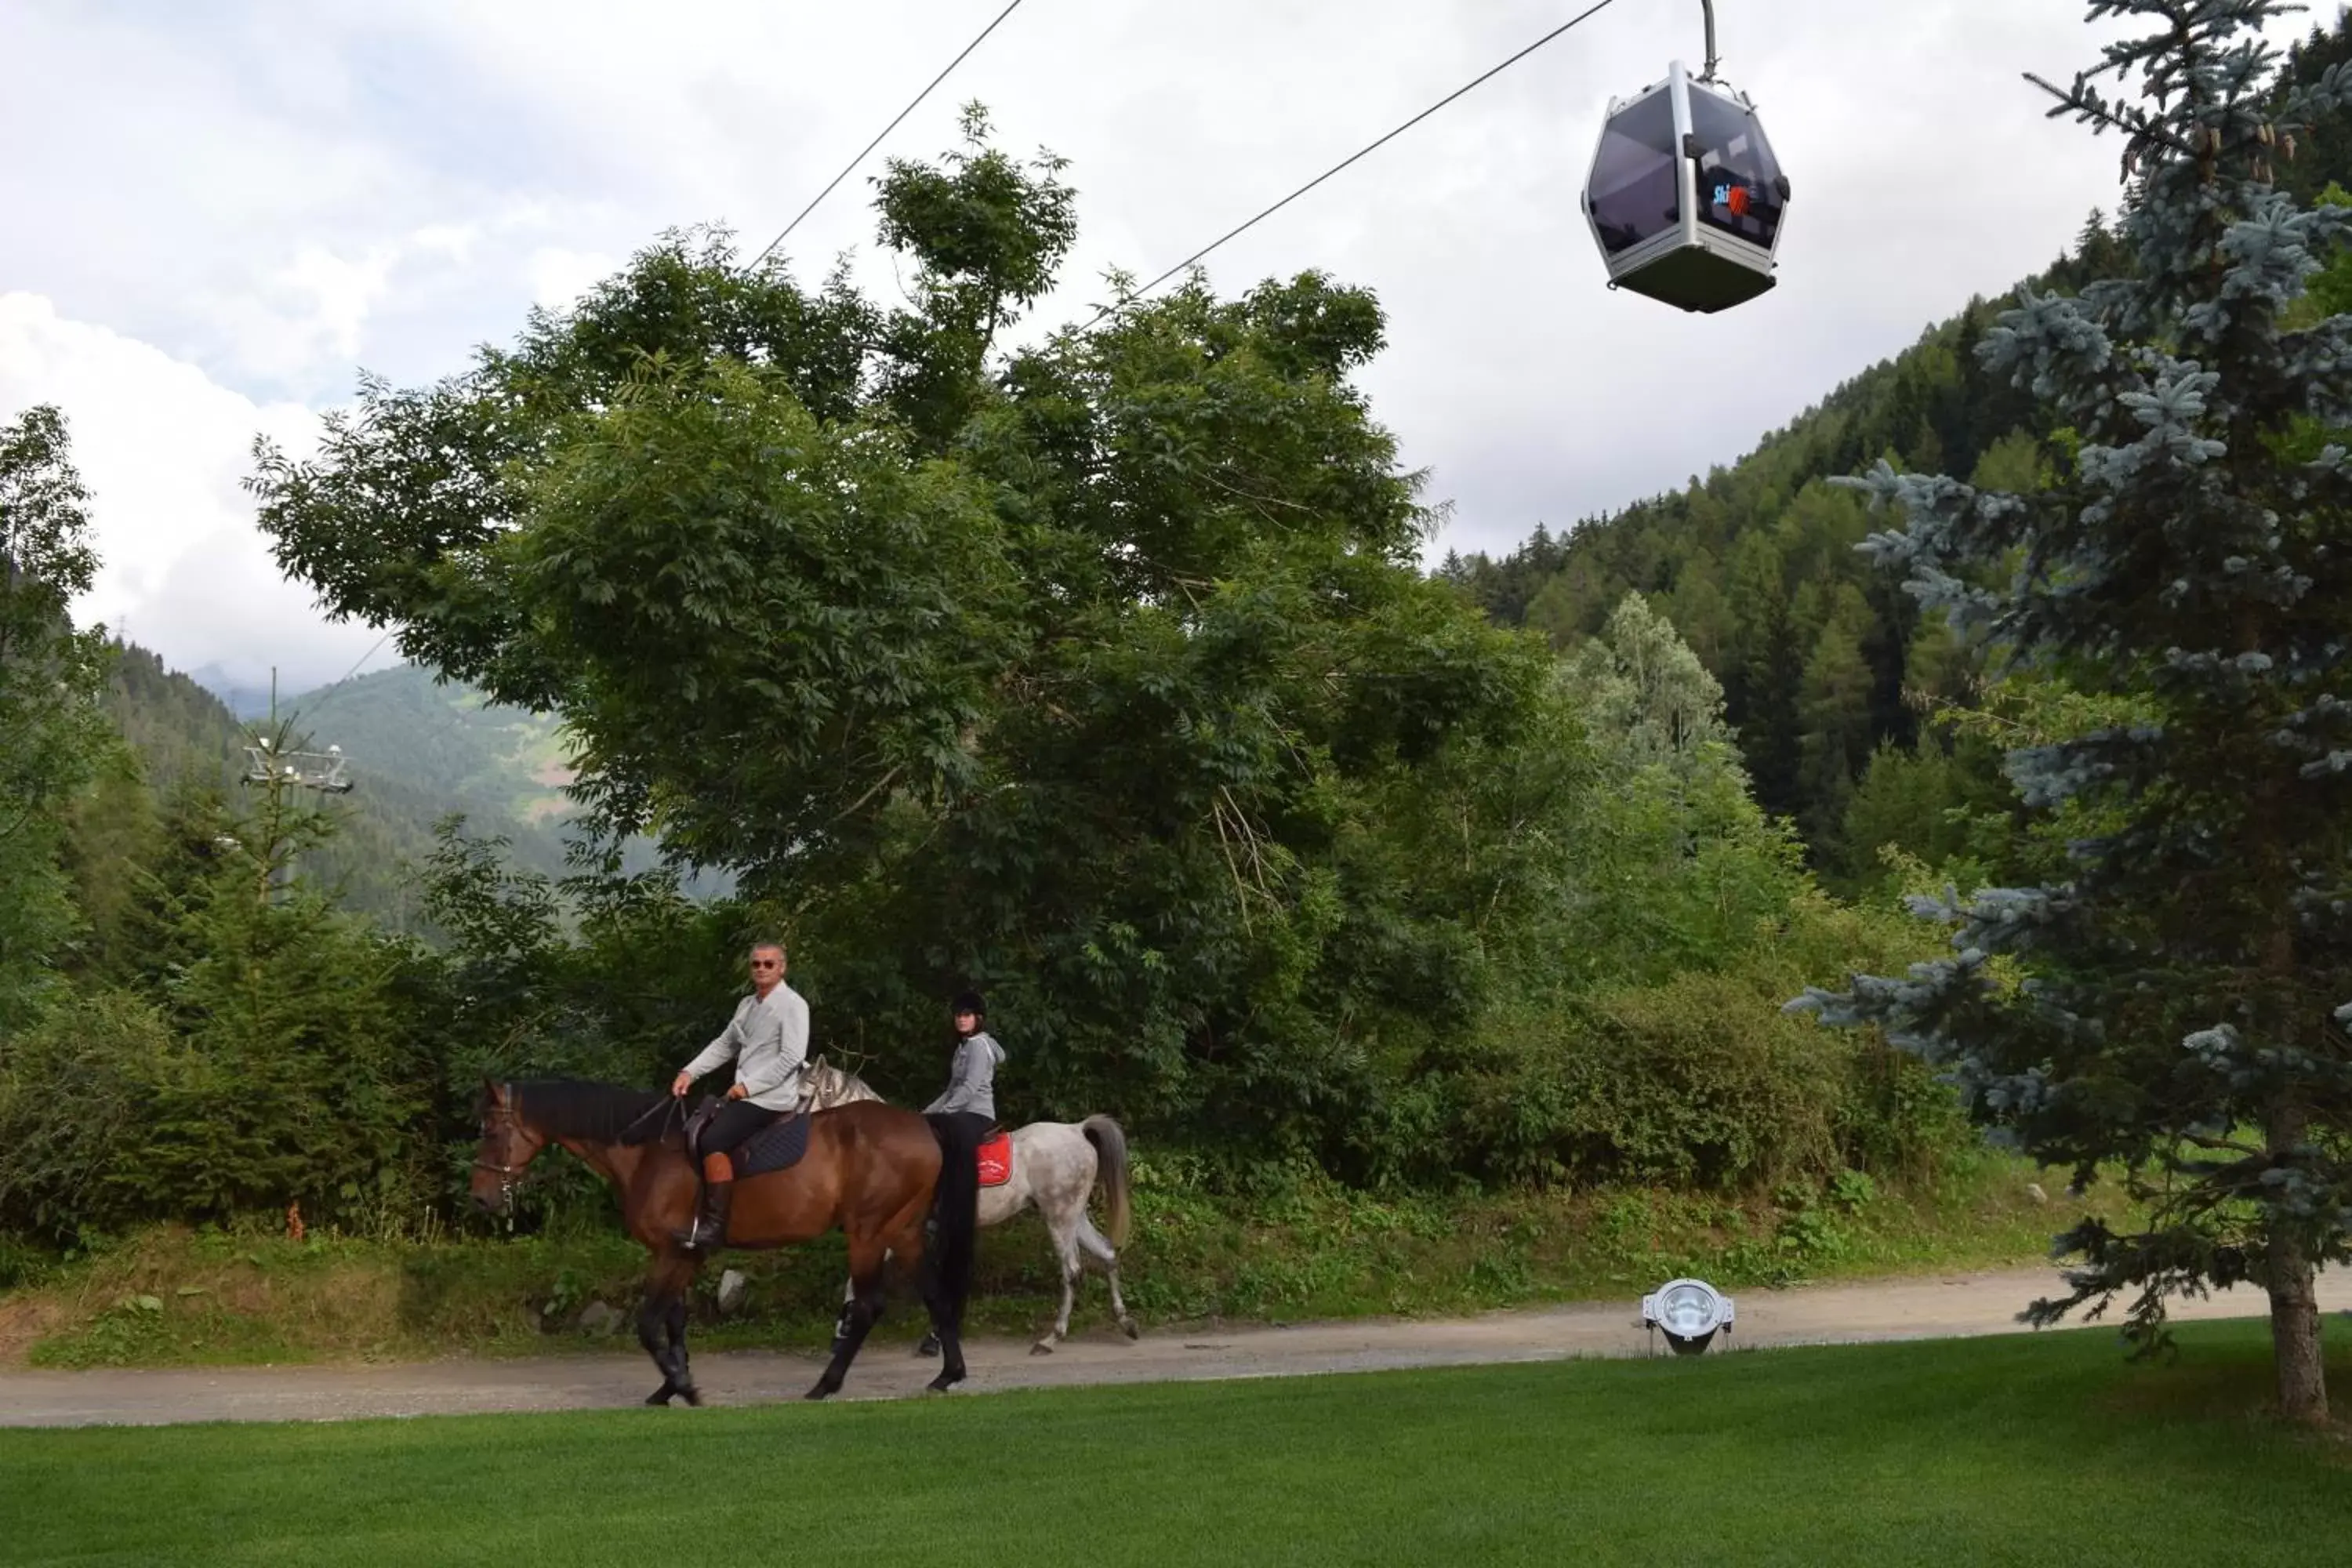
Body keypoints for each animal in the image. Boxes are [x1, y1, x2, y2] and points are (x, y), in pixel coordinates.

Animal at [463, 1072, 978, 1401]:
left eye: (490, 1131)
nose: (482, 1199)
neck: (647, 1151)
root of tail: (921, 1122)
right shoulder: (680, 1254)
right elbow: (673, 1321)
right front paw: (670, 1385)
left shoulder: (673, 1252)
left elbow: (648, 1324)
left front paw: (683, 1388)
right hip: (903, 1230)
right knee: (936, 1295)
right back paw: (948, 1375)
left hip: (868, 1232)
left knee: (869, 1306)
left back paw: (825, 1385)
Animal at [804, 1062, 1143, 1354]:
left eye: (803, 1095)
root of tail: (1076, 1129)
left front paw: (844, 1334)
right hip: (1074, 1215)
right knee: (1107, 1253)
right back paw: (1126, 1323)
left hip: (1058, 1216)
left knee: (1072, 1270)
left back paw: (1051, 1338)